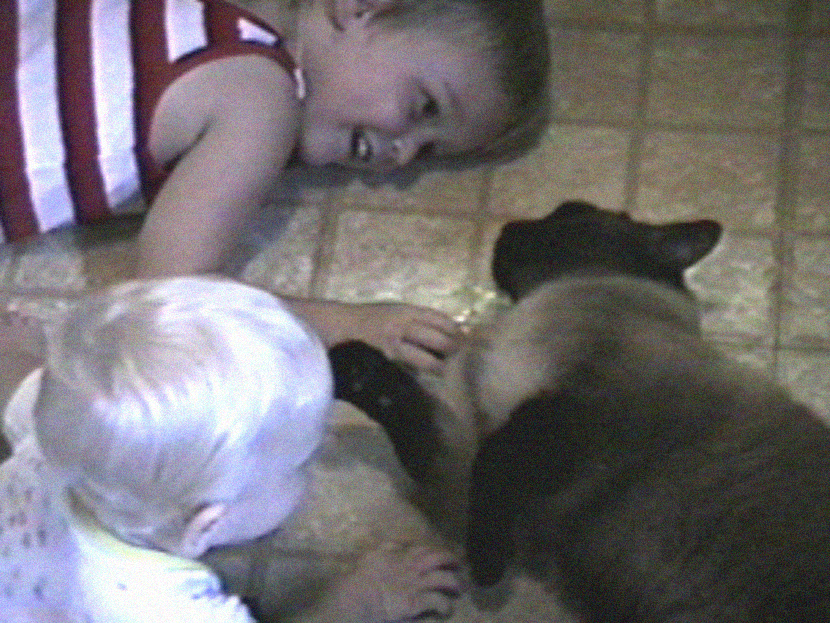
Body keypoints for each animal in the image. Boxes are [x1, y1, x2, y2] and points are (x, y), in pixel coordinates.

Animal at [329, 201, 830, 622]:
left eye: (565, 215)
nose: (509, 226)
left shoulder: (567, 411)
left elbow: (493, 467)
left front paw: (485, 566)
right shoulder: (457, 459)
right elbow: (400, 402)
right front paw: (343, 363)